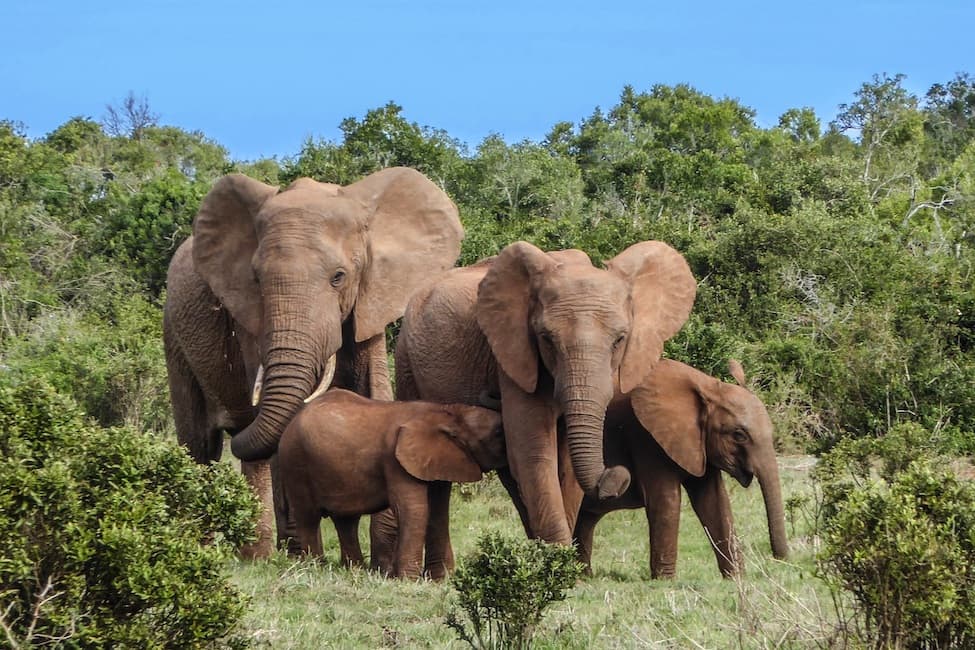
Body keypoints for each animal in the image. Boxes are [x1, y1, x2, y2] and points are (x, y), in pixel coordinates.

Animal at [163, 167, 463, 557]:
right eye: (256, 279)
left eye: (339, 277)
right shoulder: (249, 318)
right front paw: (300, 552)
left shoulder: (370, 299)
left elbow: (375, 390)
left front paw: (382, 556)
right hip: (173, 334)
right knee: (200, 445)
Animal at [277, 389, 506, 579]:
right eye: (498, 433)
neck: (448, 412)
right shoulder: (395, 460)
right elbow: (413, 509)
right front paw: (408, 580)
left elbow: (438, 511)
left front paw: (442, 579)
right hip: (294, 462)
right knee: (308, 517)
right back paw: (315, 567)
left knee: (346, 521)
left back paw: (354, 571)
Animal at [392, 240, 697, 554]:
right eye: (546, 338)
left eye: (620, 340)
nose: (617, 475)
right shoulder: (514, 356)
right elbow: (534, 452)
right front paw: (558, 559)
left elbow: (565, 466)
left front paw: (559, 560)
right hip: (406, 361)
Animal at [573, 359, 789, 579]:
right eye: (739, 435)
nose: (779, 560)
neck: (709, 386)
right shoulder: (645, 437)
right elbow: (667, 500)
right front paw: (665, 581)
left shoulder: (699, 445)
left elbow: (714, 501)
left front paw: (736, 578)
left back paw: (584, 576)